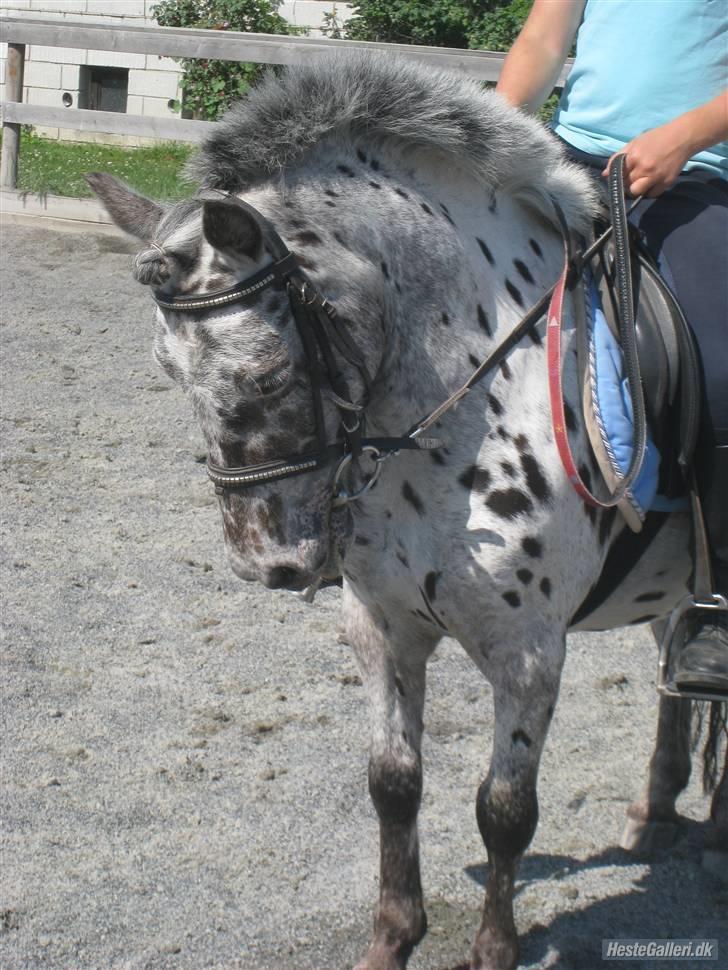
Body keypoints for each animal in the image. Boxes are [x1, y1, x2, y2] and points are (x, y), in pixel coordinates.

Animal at [88, 51, 724, 968]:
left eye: (270, 375)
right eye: (169, 375)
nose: (267, 564)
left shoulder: (529, 652)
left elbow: (504, 811)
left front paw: (493, 949)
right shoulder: (382, 626)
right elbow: (393, 784)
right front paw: (393, 937)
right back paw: (657, 813)